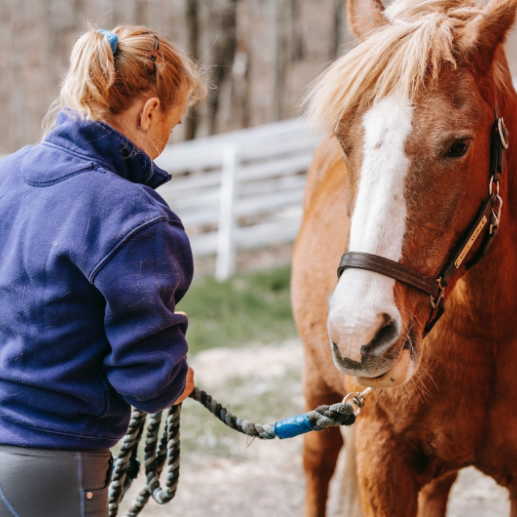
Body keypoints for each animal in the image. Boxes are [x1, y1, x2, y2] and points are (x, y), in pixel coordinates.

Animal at [292, 2, 517, 512]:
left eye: (457, 146)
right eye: (344, 140)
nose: (357, 334)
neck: (489, 329)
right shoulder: (382, 462)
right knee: (317, 465)